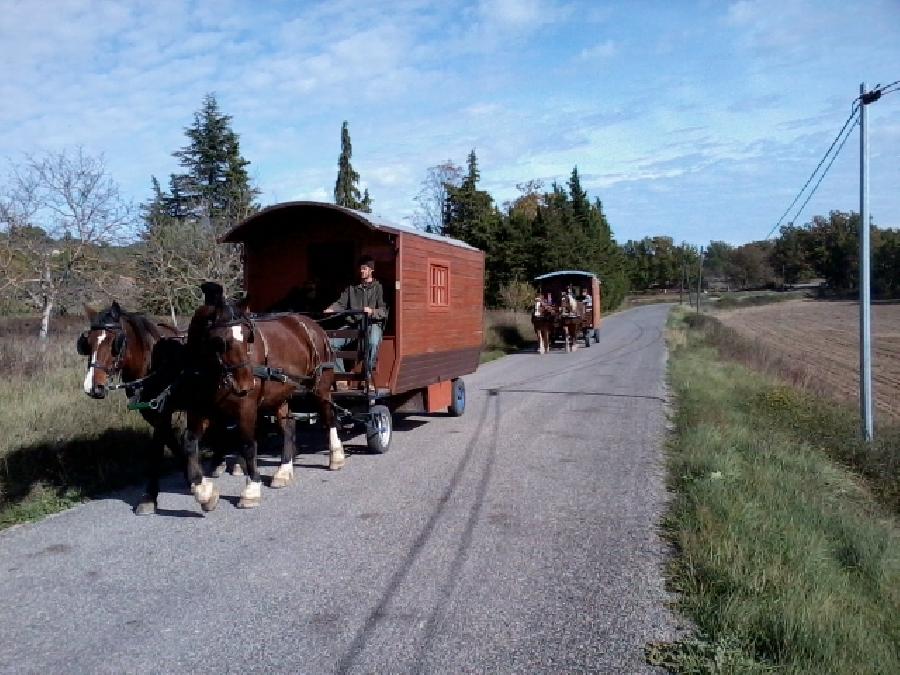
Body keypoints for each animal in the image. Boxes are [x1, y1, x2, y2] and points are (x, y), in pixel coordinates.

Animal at [183, 282, 342, 512]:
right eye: (219, 341)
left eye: (248, 337)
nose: (246, 384)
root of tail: (311, 324)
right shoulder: (199, 409)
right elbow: (189, 443)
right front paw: (203, 492)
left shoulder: (246, 407)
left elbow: (249, 445)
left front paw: (251, 489)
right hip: (280, 394)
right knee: (289, 426)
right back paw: (283, 471)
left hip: (321, 386)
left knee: (329, 417)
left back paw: (336, 456)